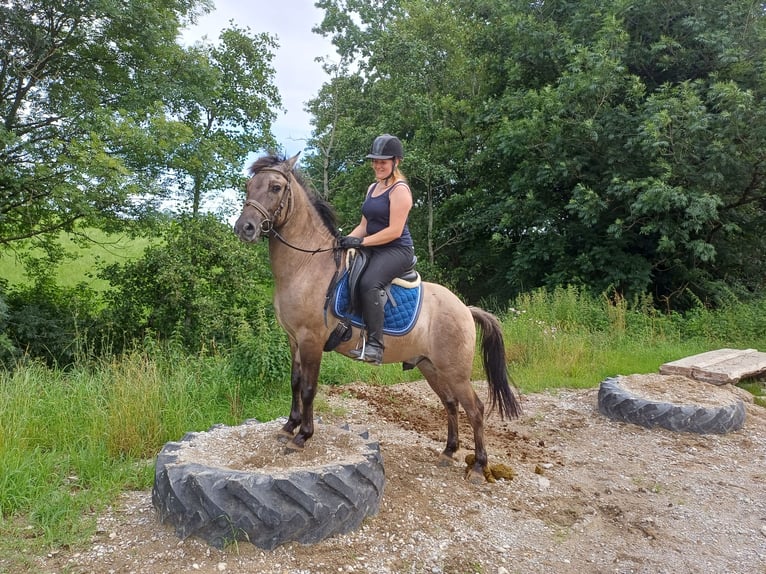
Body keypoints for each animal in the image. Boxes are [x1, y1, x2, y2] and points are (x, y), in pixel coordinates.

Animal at [234, 154, 520, 486]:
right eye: (249, 185)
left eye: (276, 187)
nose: (245, 228)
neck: (307, 265)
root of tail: (465, 308)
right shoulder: (293, 339)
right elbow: (294, 382)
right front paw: (287, 428)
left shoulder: (311, 340)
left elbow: (308, 388)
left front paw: (303, 436)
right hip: (430, 366)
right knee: (450, 403)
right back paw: (449, 452)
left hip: (455, 370)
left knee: (475, 408)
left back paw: (478, 467)